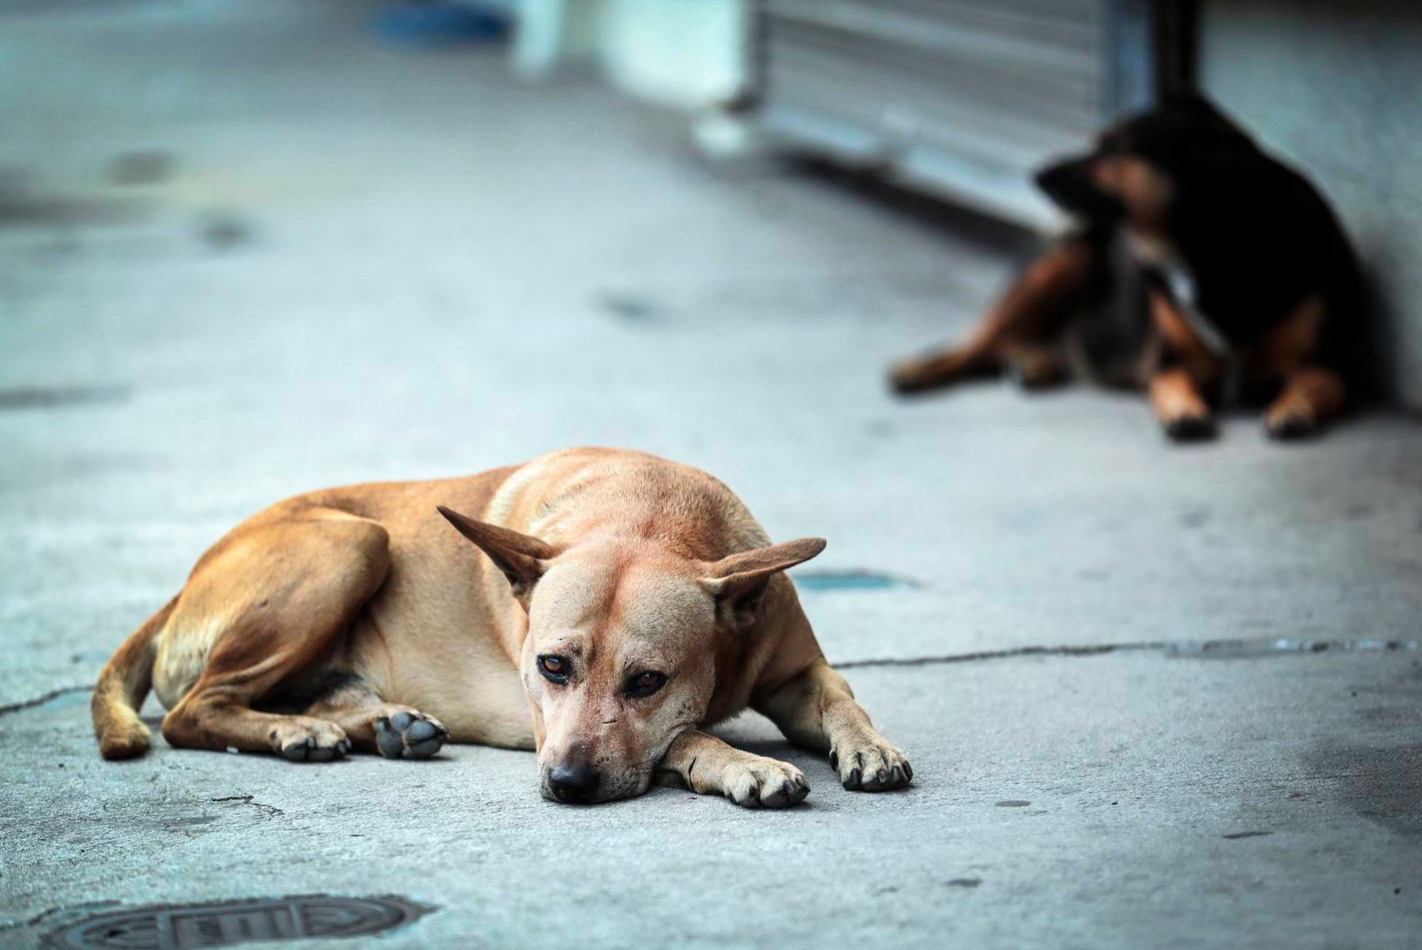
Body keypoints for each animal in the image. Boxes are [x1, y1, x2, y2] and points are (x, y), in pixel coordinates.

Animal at [91, 449, 910, 807]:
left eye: (648, 680)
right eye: (551, 666)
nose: (568, 784)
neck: (648, 515)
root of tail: (185, 582)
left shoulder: (797, 670)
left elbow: (842, 697)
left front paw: (870, 745)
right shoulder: (549, 722)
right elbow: (688, 736)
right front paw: (740, 761)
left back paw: (380, 725)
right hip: (353, 543)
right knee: (192, 711)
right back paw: (298, 731)